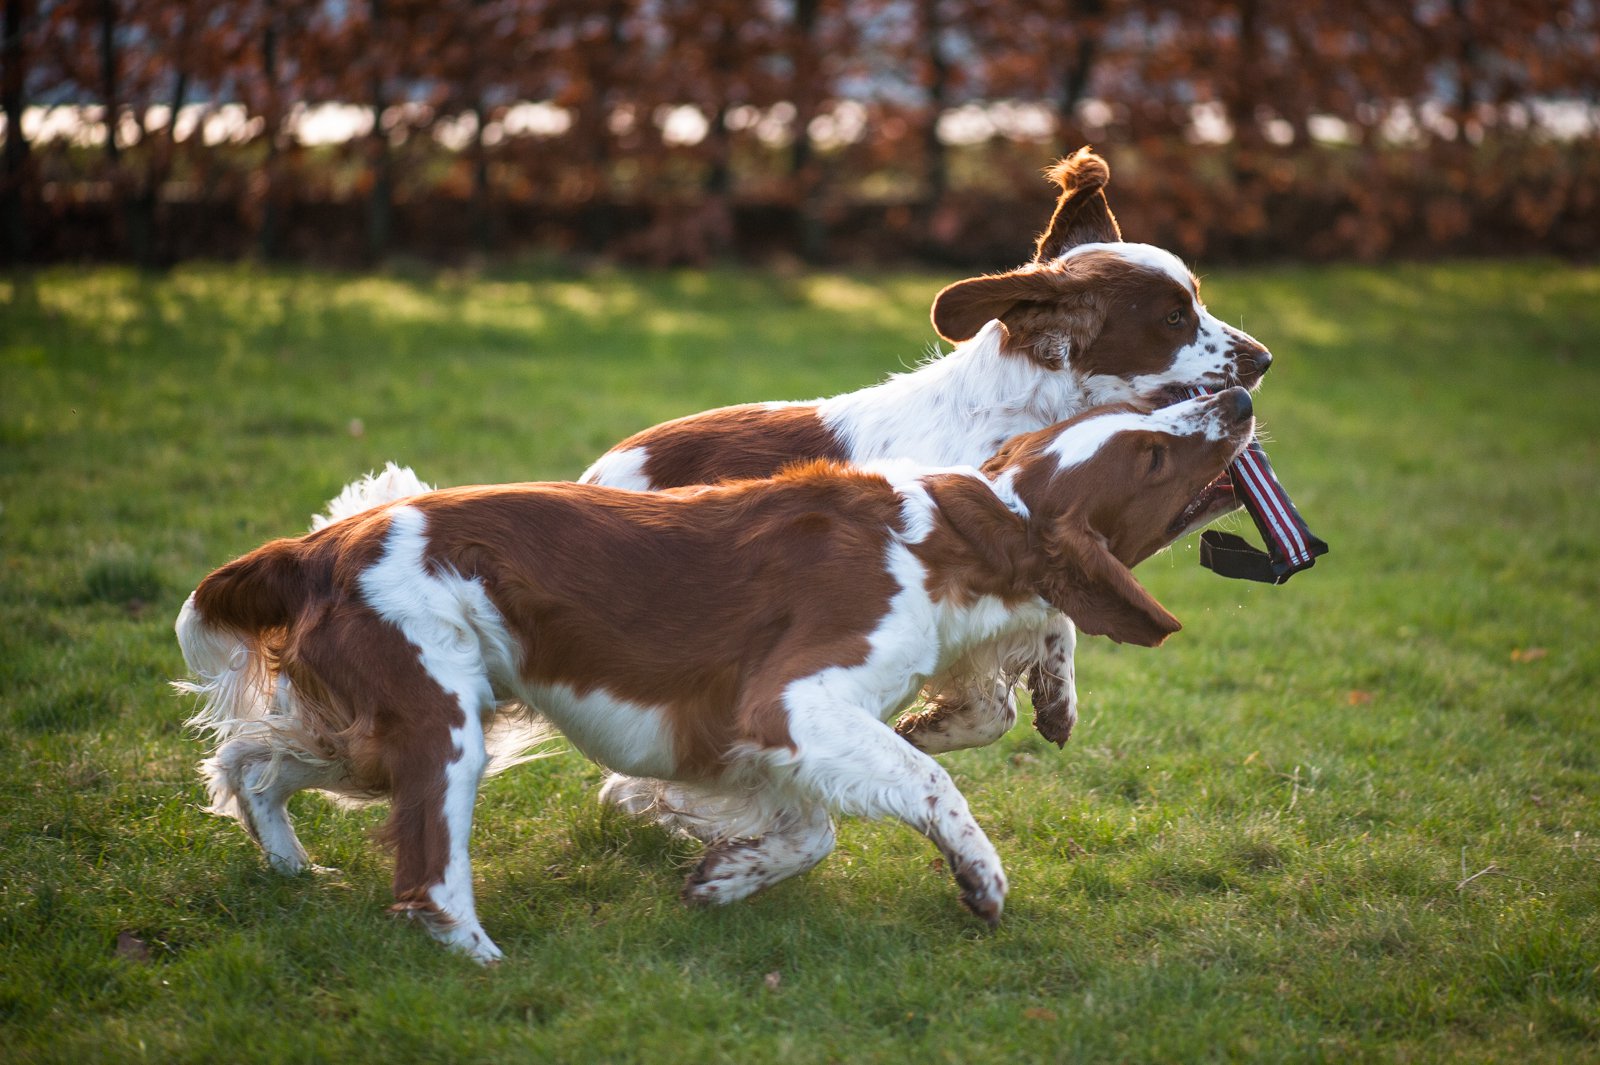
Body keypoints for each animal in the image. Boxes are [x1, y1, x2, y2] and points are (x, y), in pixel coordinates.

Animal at [175, 390, 1248, 959]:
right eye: (1155, 453)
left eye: (1145, 411)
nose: (1237, 398)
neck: (967, 535)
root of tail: (322, 543)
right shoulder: (793, 699)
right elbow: (928, 780)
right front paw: (979, 878)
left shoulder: (758, 734)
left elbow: (810, 830)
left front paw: (724, 878)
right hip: (443, 730)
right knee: (427, 880)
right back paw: (484, 960)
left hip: (396, 725)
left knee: (255, 761)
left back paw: (289, 865)